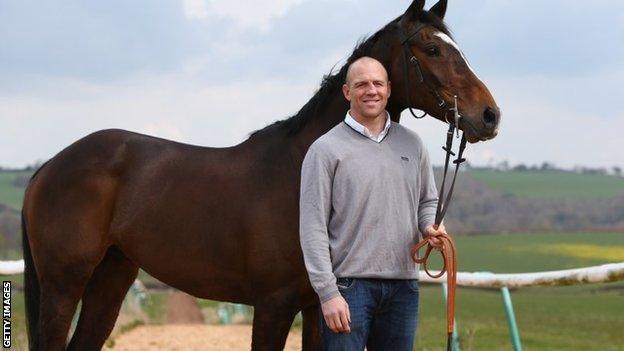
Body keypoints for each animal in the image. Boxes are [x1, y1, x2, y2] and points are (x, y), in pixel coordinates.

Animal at [22, 1, 502, 350]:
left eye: (456, 48)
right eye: (432, 49)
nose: (489, 115)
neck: (299, 171)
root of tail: (49, 166)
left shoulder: (318, 309)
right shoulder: (273, 306)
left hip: (111, 277)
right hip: (63, 284)